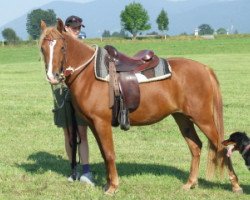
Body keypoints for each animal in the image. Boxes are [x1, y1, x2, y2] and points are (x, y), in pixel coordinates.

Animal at [39, 19, 242, 195]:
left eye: (62, 47)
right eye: (42, 48)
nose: (52, 76)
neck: (89, 74)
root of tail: (205, 69)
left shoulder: (101, 123)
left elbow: (109, 154)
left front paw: (113, 187)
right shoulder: (93, 124)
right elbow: (104, 154)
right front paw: (107, 184)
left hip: (203, 118)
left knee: (221, 146)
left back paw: (235, 185)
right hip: (182, 117)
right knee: (196, 146)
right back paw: (190, 183)